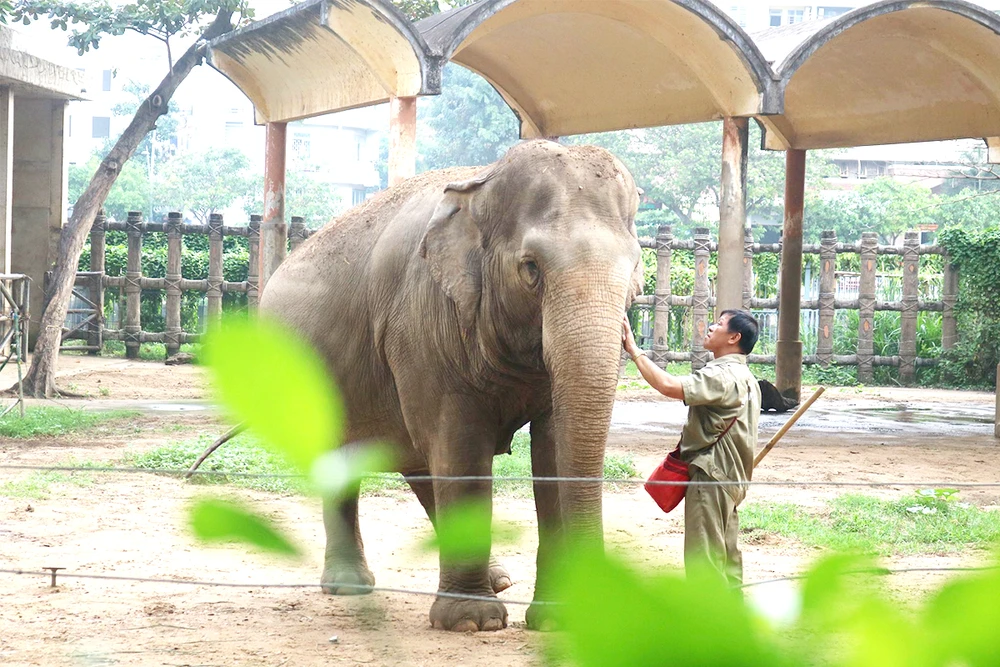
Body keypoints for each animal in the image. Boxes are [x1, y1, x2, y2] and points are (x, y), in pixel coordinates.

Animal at [258, 140, 644, 632]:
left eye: (635, 269)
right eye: (531, 268)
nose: (600, 612)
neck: (482, 184)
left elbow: (553, 446)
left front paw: (555, 620)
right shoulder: (422, 319)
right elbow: (459, 442)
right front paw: (472, 622)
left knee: (417, 459)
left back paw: (499, 579)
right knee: (353, 457)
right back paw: (350, 587)